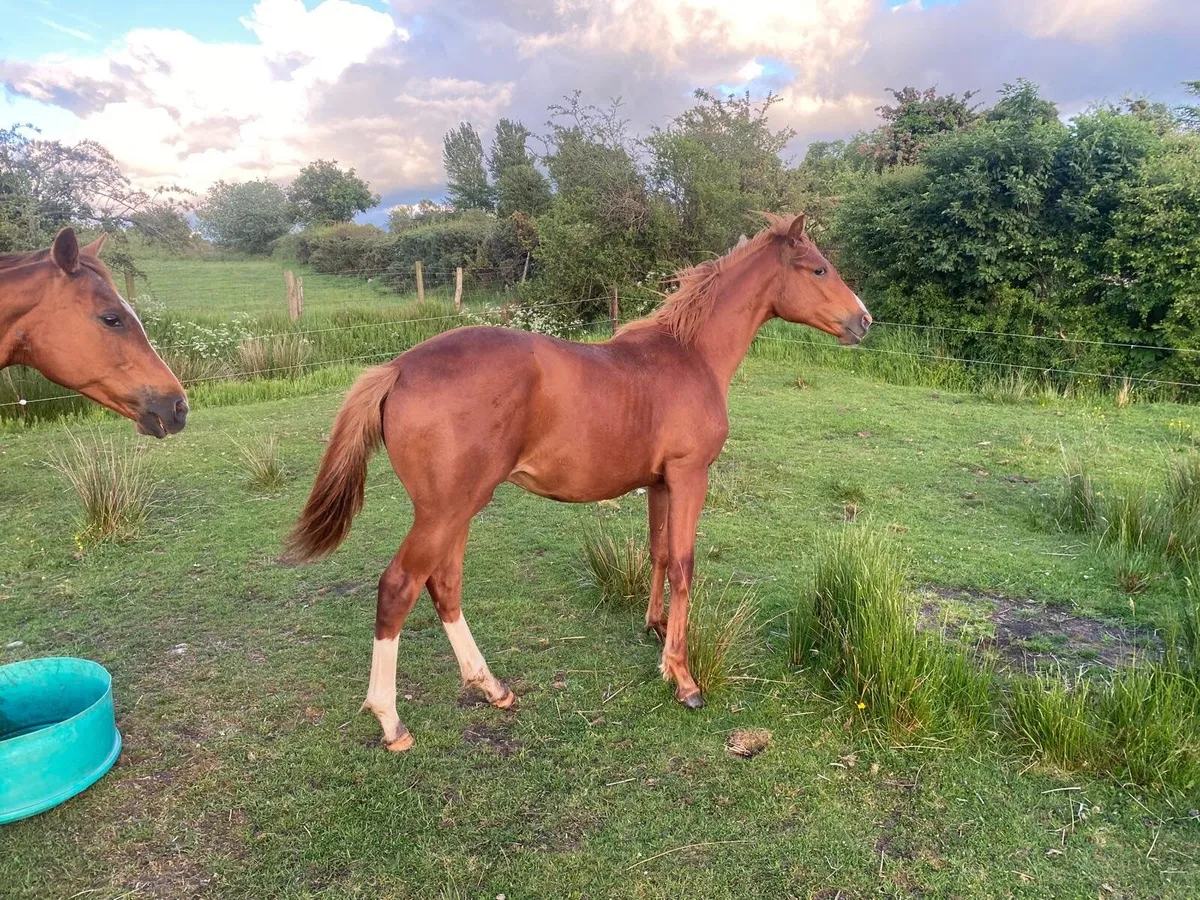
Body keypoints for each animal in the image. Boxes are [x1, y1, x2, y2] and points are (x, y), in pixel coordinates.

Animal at [287, 213, 871, 751]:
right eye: (819, 268)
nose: (864, 321)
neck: (690, 354)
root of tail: (398, 369)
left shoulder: (660, 483)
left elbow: (659, 552)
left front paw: (656, 630)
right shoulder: (689, 476)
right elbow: (683, 566)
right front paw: (682, 678)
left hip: (457, 509)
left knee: (444, 584)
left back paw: (491, 686)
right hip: (445, 510)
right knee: (399, 587)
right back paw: (391, 721)